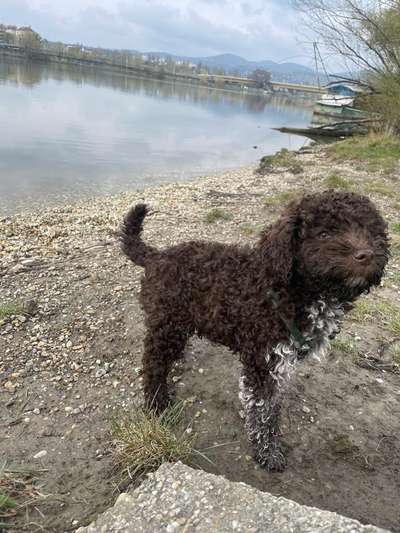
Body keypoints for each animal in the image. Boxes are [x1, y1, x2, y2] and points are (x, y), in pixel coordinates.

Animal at [121, 190, 388, 470]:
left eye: (369, 229)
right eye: (324, 233)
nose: (366, 254)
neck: (293, 290)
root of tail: (156, 256)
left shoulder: (281, 363)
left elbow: (272, 406)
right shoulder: (263, 364)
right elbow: (263, 413)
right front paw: (268, 453)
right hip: (166, 325)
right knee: (152, 364)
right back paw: (157, 403)